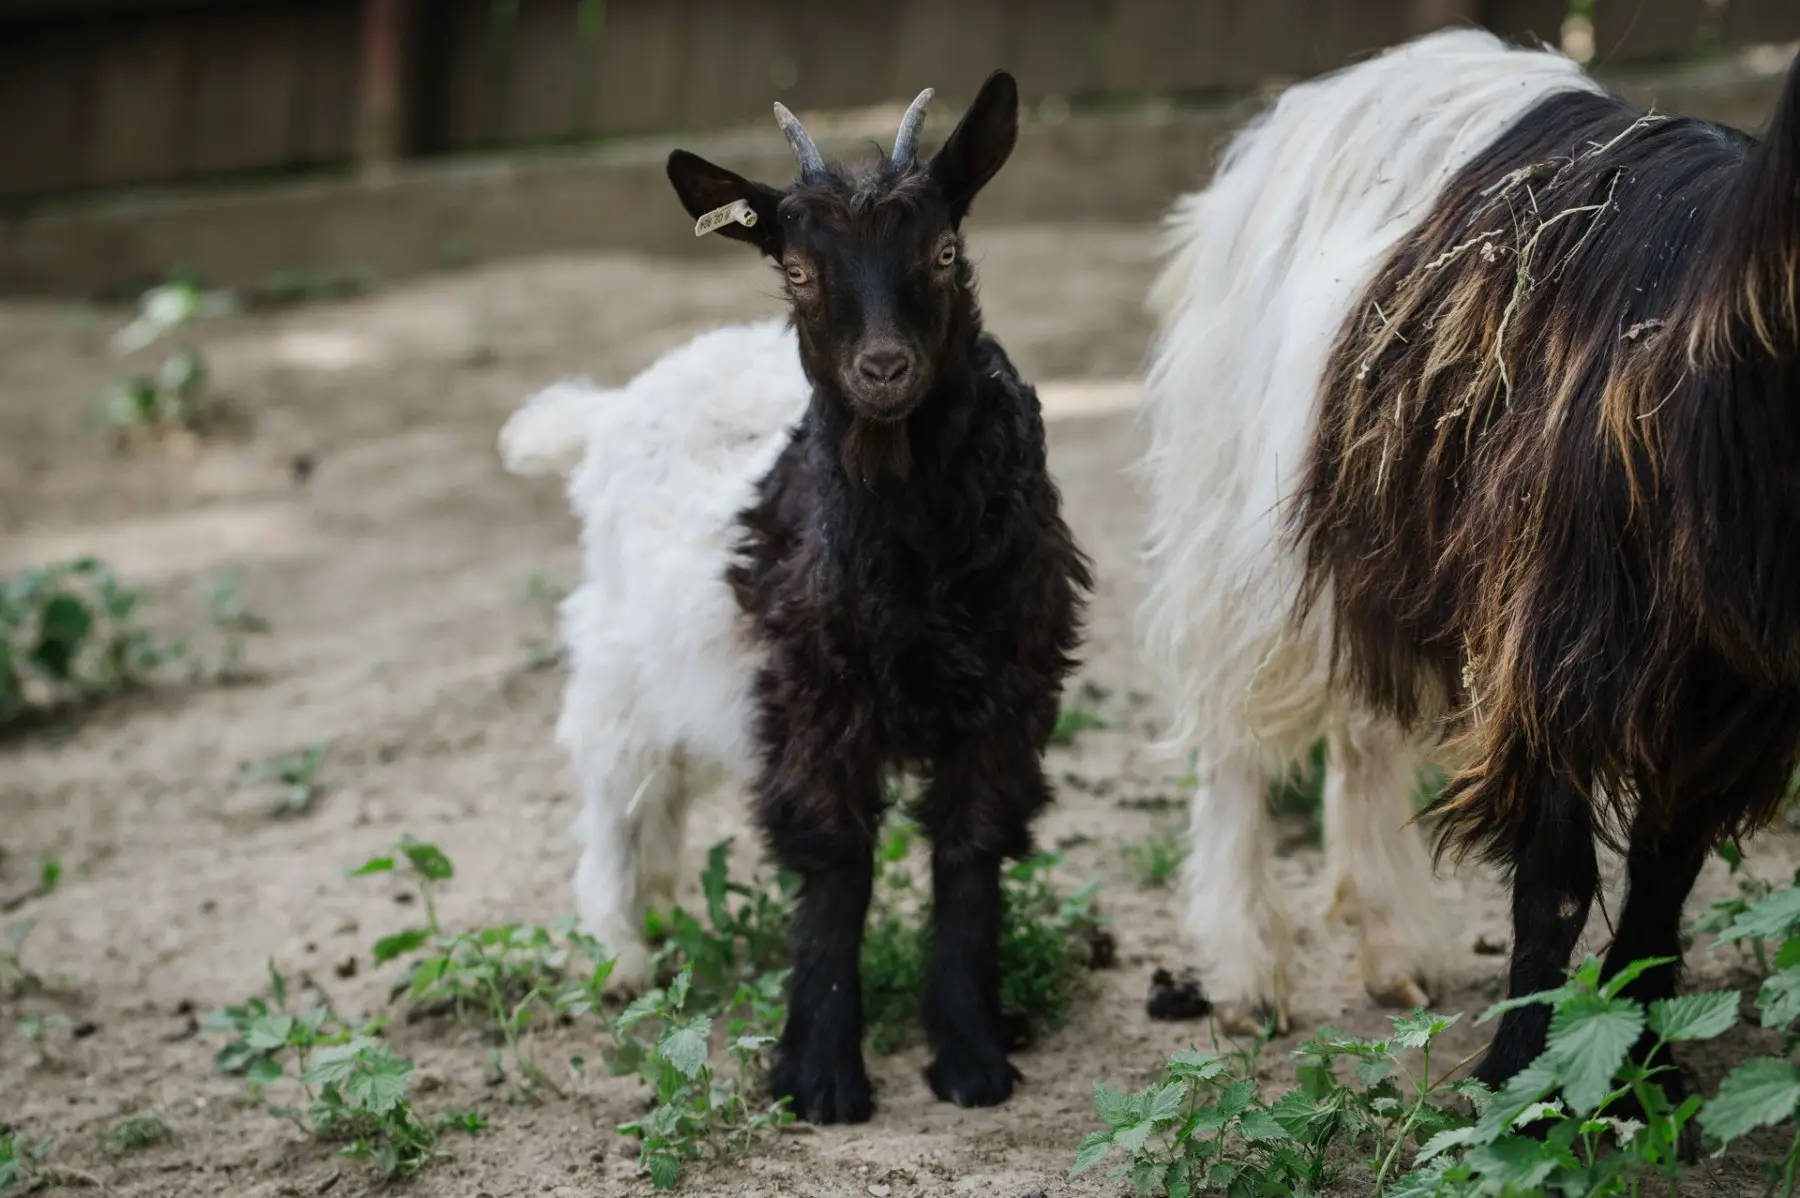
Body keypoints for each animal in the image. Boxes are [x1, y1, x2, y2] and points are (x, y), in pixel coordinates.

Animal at [501, 71, 1090, 1124]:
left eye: (944, 253)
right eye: (799, 274)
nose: (884, 368)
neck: (918, 556)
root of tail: (605, 411)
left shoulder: (1012, 688)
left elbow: (970, 849)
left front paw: (972, 1058)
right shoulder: (814, 688)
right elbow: (835, 859)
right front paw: (820, 1075)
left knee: (658, 787)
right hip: (622, 645)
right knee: (613, 778)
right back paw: (620, 949)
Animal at [1141, 23, 1800, 1104]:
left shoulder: (1721, 695)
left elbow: (1666, 874)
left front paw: (1649, 1070)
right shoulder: (1553, 645)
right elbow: (1558, 879)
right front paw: (1524, 1082)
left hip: (1376, 529)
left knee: (1363, 731)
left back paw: (1394, 951)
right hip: (1243, 518)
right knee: (1237, 739)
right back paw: (1246, 974)